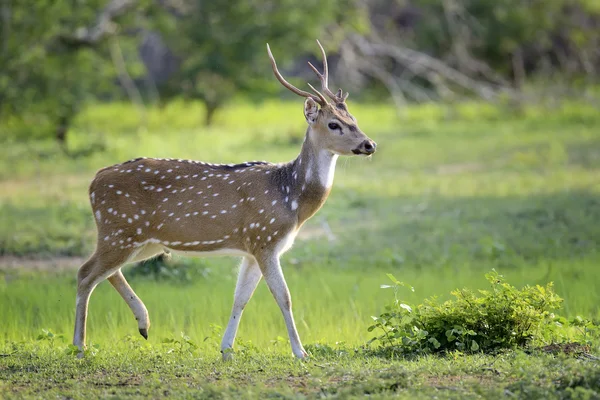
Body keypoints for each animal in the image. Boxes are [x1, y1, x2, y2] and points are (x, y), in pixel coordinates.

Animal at [72, 40, 378, 360]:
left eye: (354, 119)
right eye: (333, 124)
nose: (369, 144)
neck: (291, 198)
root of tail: (94, 182)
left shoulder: (253, 247)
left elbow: (240, 298)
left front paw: (227, 350)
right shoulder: (265, 238)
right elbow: (284, 296)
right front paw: (300, 352)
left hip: (143, 240)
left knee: (105, 272)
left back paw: (143, 324)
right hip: (119, 230)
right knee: (85, 273)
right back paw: (80, 346)